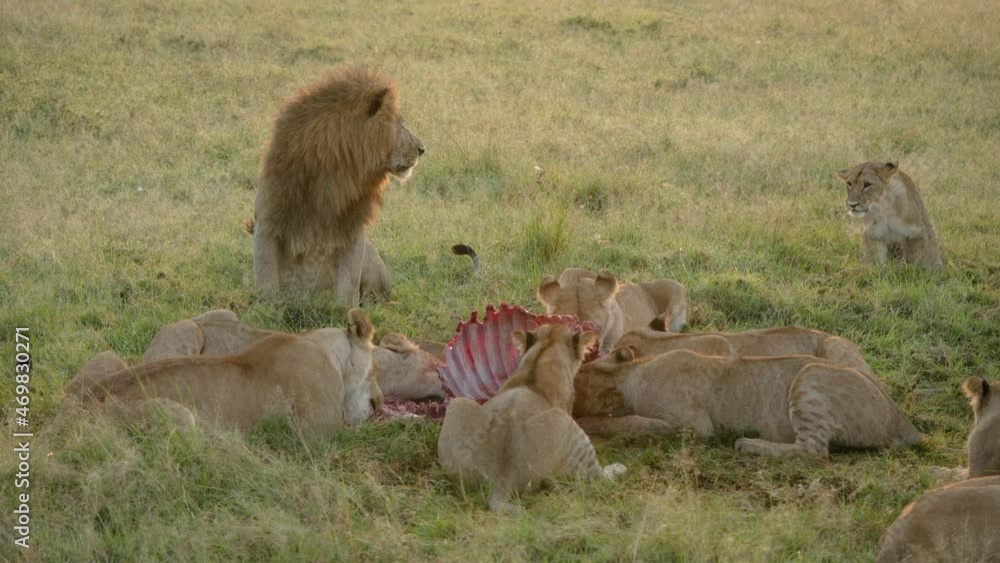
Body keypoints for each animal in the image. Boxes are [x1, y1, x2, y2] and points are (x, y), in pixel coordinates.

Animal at [253, 65, 424, 307]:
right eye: (399, 125)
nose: (422, 149)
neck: (335, 171)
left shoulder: (353, 225)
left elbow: (348, 282)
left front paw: (345, 311)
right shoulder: (268, 217)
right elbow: (266, 276)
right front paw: (267, 307)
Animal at [437, 324, 626, 511]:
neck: (544, 352)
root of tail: (501, 479)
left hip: (458, 405)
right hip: (565, 424)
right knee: (595, 478)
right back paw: (617, 469)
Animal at [572, 348, 922, 459]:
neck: (632, 373)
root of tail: (903, 419)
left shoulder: (696, 426)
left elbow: (633, 422)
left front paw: (588, 424)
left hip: (811, 375)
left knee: (813, 452)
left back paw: (750, 444)